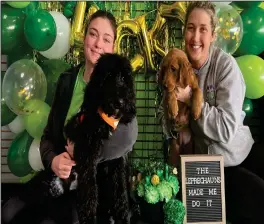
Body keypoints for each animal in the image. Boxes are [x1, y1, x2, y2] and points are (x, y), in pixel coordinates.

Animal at [61, 53, 136, 223]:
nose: (120, 102)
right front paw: (88, 219)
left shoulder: (117, 159)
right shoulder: (87, 158)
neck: (105, 121)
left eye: (124, 77)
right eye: (108, 77)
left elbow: (120, 192)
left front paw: (123, 216)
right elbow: (89, 194)